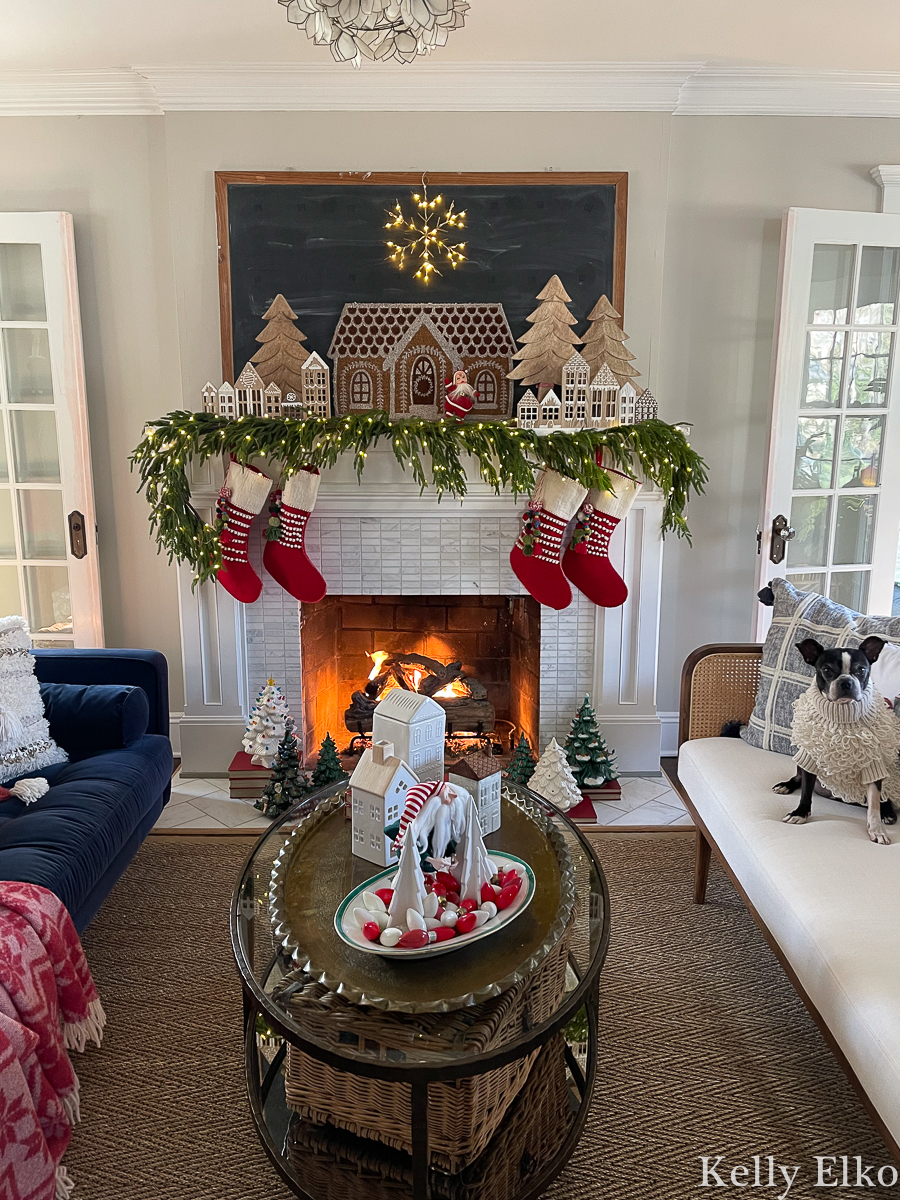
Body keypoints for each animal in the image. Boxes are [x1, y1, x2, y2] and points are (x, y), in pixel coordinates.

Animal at [777, 638, 897, 844]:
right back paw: (786, 785)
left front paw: (876, 829)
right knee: (798, 777)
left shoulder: (873, 763)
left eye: (861, 670)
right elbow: (806, 790)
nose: (846, 682)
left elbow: (874, 803)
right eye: (826, 670)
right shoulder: (810, 756)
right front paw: (800, 813)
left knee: (883, 797)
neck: (842, 715)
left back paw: (888, 811)